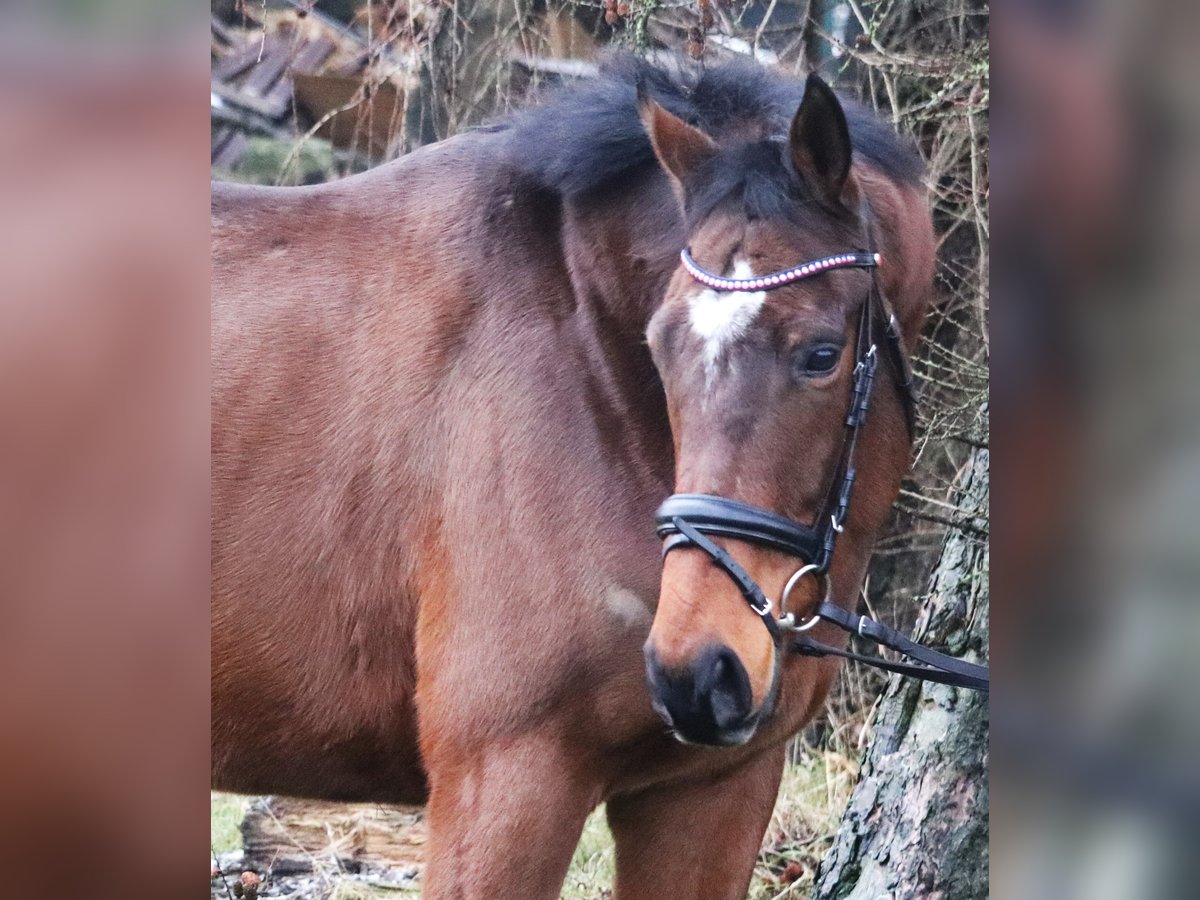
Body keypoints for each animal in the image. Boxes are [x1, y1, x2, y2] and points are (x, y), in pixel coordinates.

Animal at [211, 58, 931, 900]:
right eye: (659, 344)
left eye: (821, 354)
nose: (697, 672)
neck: (589, 365)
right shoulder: (503, 784)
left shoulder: (712, 790)